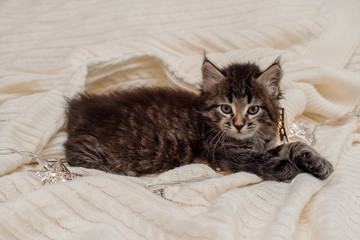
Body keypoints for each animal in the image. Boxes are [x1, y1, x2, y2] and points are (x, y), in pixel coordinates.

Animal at [64, 58, 332, 181]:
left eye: (253, 109)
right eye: (226, 108)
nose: (238, 125)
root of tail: (79, 108)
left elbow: (295, 145)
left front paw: (318, 163)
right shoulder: (228, 153)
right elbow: (272, 159)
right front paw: (292, 170)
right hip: (91, 151)